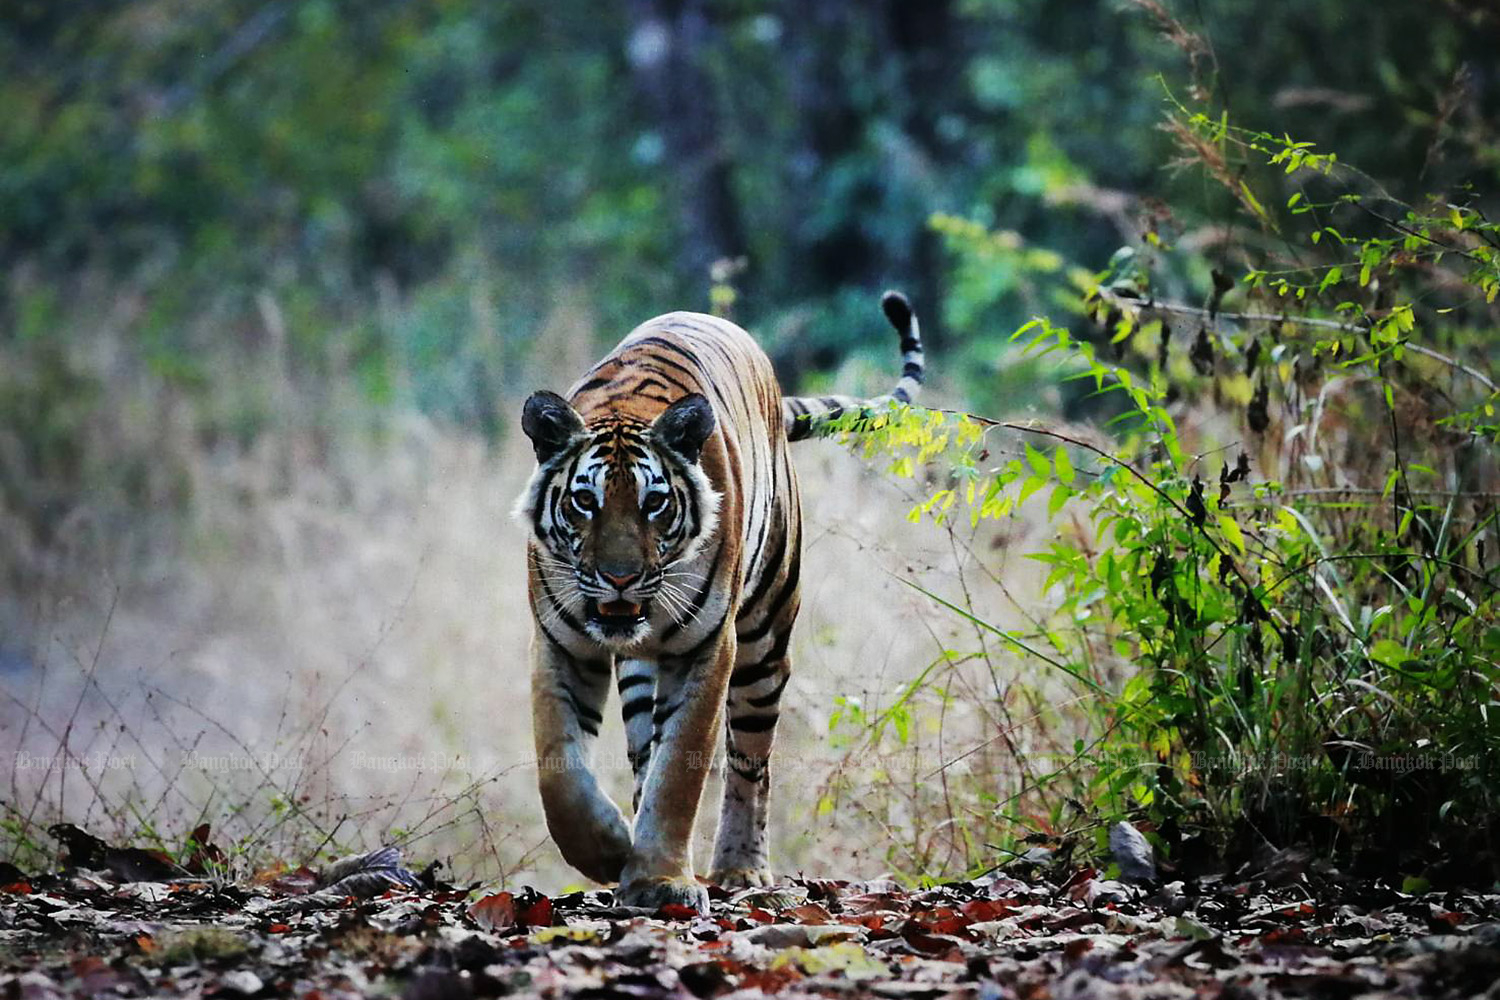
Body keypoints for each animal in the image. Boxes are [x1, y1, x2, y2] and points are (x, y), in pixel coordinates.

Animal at [513, 290, 912, 917]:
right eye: (584, 501)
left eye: (654, 503)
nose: (620, 578)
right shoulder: (559, 643)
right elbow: (560, 768)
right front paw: (609, 850)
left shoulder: (707, 647)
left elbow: (681, 768)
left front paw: (662, 879)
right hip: (642, 676)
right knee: (643, 751)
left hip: (764, 640)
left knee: (751, 762)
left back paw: (741, 869)